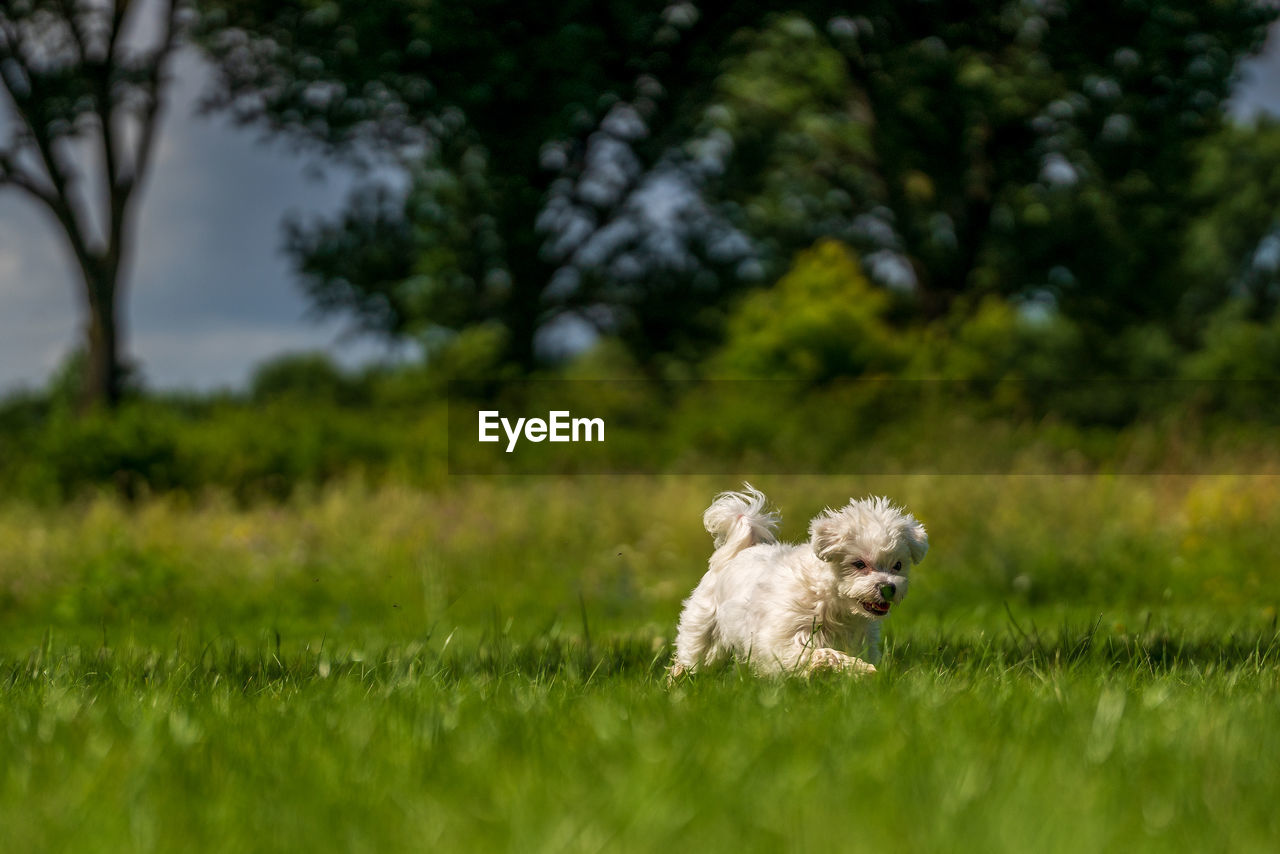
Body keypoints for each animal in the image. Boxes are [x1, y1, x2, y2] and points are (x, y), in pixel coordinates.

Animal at [670, 486, 931, 681]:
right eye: (859, 564)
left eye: (898, 565)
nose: (888, 588)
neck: (830, 602)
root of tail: (737, 552)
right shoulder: (781, 640)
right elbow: (819, 654)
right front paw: (858, 668)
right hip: (704, 632)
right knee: (694, 658)